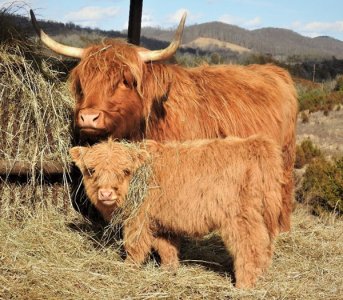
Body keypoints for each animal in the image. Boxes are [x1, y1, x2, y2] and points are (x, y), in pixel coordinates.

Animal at [70, 135, 284, 288]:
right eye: (91, 170)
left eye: (125, 171)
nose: (106, 193)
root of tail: (254, 143)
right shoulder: (160, 221)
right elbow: (166, 247)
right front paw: (169, 270)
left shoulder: (137, 220)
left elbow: (134, 245)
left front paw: (128, 267)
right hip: (263, 216)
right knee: (265, 246)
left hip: (240, 219)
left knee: (249, 248)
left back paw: (244, 285)